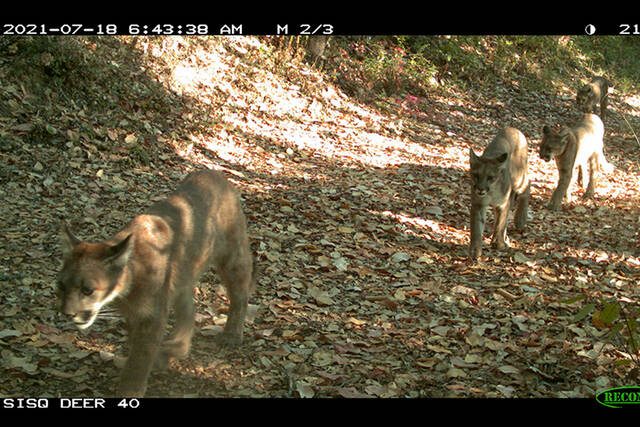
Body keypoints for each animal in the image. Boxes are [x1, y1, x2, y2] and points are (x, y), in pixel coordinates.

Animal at [55, 170, 255, 398]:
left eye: (87, 290)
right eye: (61, 286)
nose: (67, 313)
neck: (127, 285)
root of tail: (214, 173)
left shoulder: (152, 315)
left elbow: (141, 354)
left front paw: (130, 389)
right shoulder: (137, 313)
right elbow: (136, 343)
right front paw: (155, 360)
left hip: (232, 257)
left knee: (240, 294)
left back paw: (231, 334)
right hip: (182, 278)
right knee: (189, 310)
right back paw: (177, 347)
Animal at [464, 127, 528, 260]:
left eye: (490, 177)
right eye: (476, 175)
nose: (480, 189)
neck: (491, 192)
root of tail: (514, 128)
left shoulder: (503, 204)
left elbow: (500, 223)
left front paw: (498, 244)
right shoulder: (478, 204)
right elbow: (476, 228)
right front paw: (475, 250)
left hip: (519, 179)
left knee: (528, 185)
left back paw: (520, 218)